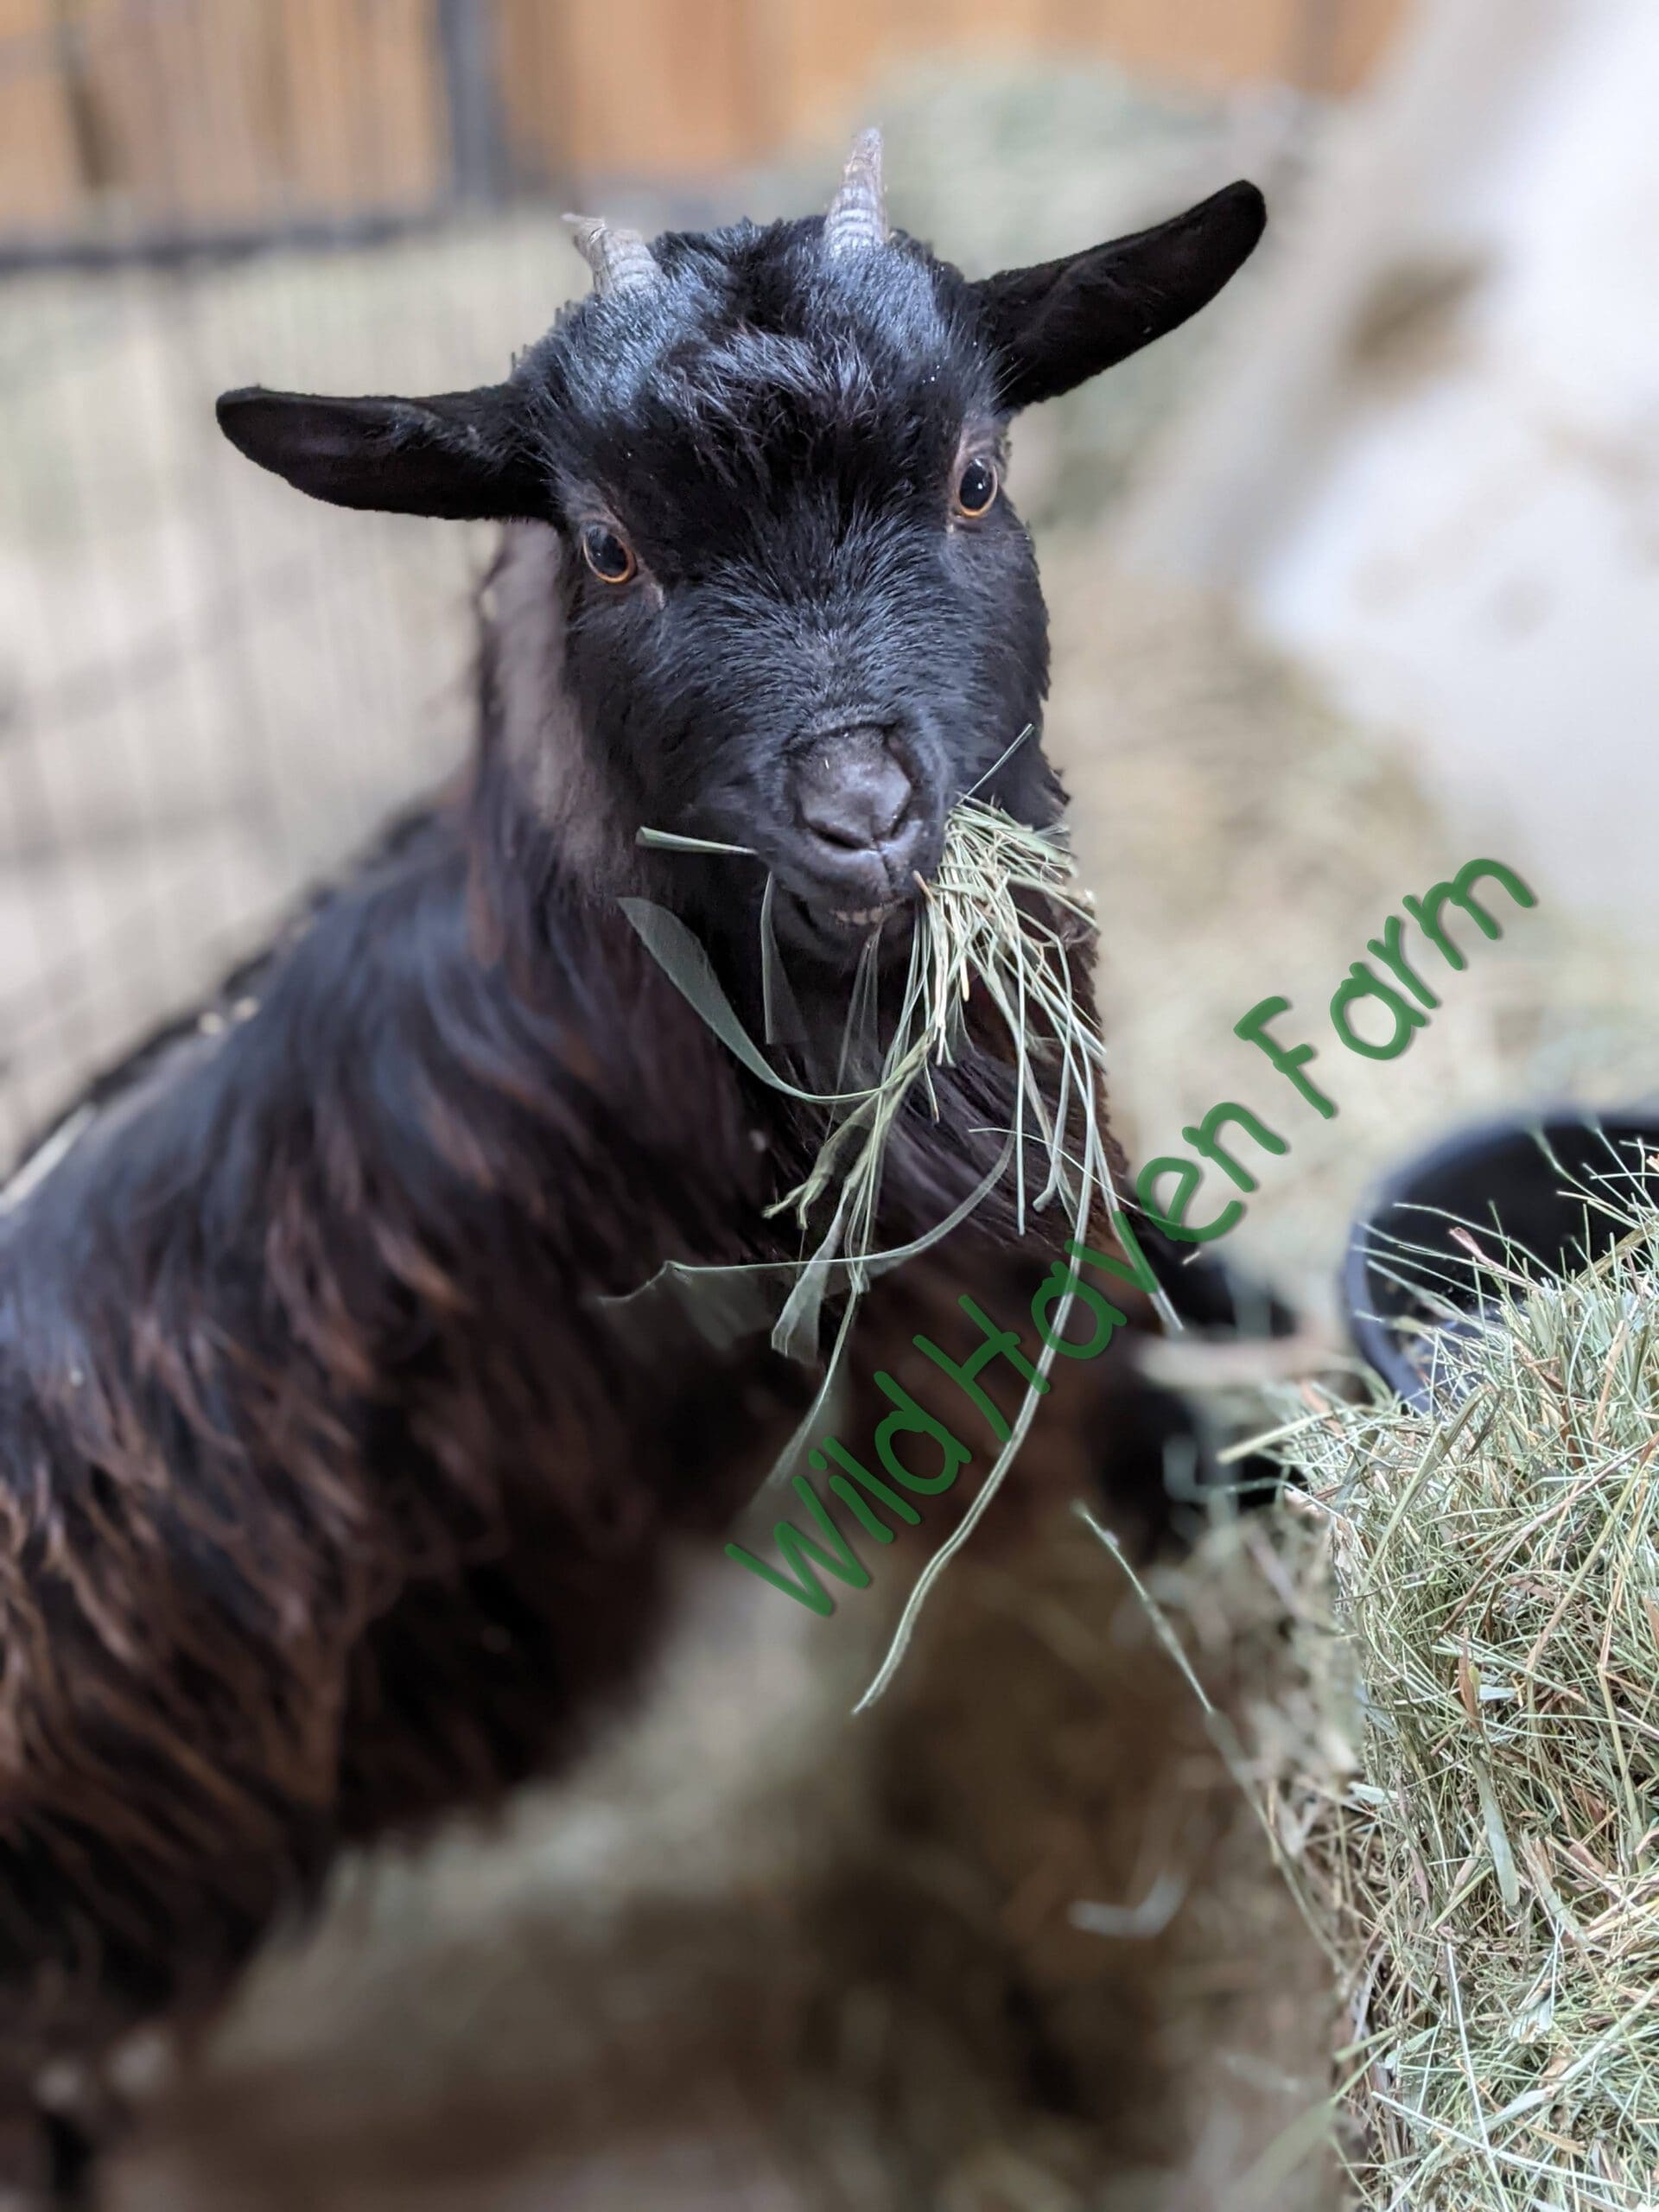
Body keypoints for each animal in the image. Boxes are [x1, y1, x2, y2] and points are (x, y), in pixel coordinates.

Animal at [0, 136, 1265, 2204]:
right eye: (609, 548)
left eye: (974, 474)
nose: (860, 813)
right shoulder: (916, 1273)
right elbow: (1061, 1375)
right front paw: (1222, 1470)